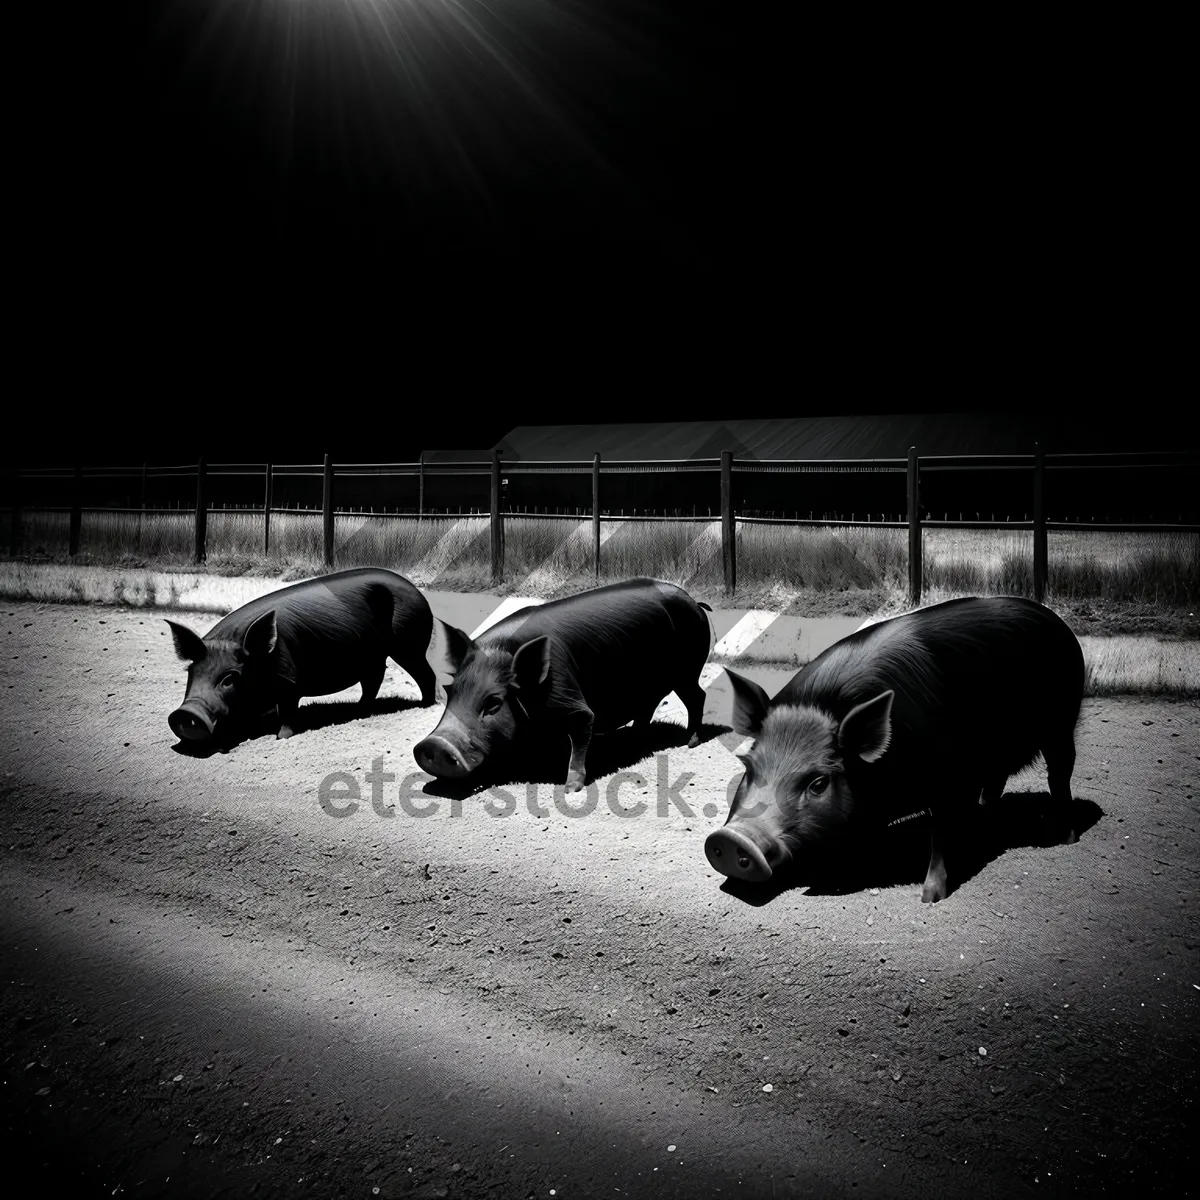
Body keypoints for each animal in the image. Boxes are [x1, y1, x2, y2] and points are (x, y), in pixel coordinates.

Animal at [164, 566, 436, 744]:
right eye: (191, 672)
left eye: (229, 678)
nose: (186, 712)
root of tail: (416, 590)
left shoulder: (289, 679)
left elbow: (287, 710)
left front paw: (281, 737)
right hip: (373, 655)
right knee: (374, 679)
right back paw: (359, 710)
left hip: (408, 643)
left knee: (425, 674)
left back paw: (425, 705)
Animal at [412, 576, 710, 792]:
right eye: (449, 692)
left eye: (494, 703)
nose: (434, 745)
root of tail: (695, 602)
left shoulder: (573, 702)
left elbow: (582, 734)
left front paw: (571, 788)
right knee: (647, 706)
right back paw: (633, 739)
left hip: (687, 670)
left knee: (698, 696)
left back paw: (690, 742)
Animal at [700, 595, 1089, 902]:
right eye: (748, 766)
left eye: (818, 783)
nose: (734, 838)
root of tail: (1054, 619)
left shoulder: (948, 783)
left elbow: (940, 837)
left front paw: (930, 898)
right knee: (997, 780)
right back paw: (986, 819)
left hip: (1061, 726)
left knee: (1060, 775)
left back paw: (1067, 837)